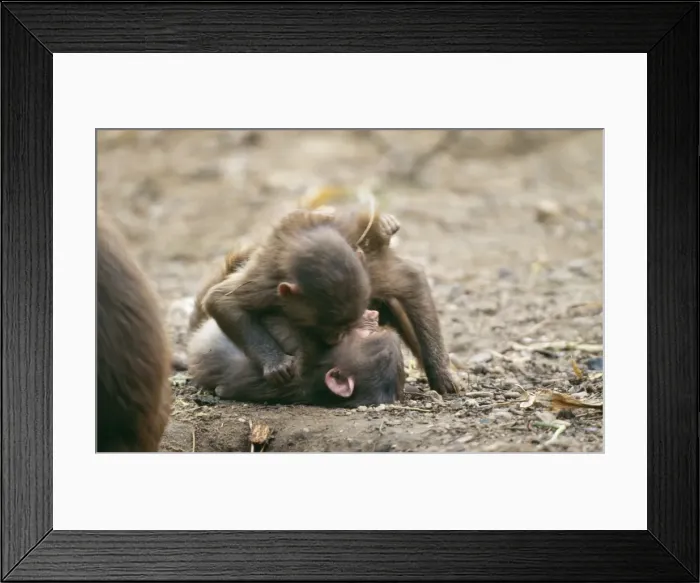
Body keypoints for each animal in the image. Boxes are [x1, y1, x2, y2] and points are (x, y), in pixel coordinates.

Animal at [201, 210, 371, 388]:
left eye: (347, 327)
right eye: (332, 328)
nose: (337, 339)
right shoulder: (267, 287)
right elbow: (221, 300)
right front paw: (274, 361)